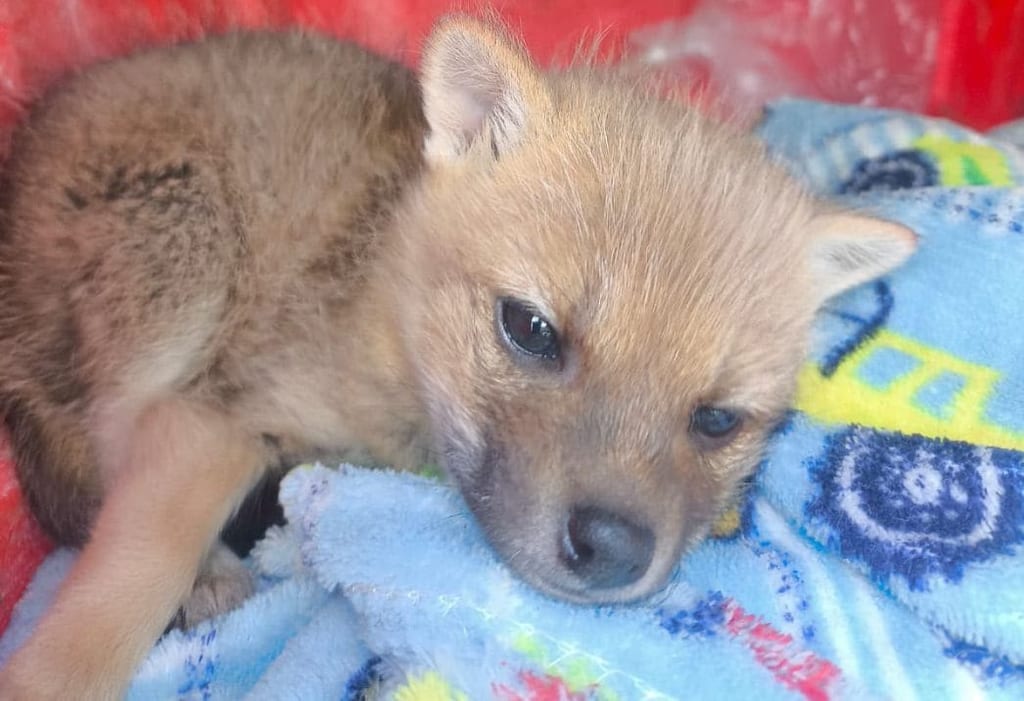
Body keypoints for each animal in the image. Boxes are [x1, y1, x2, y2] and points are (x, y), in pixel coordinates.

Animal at [0, 15, 916, 699]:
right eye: (532, 328)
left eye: (718, 419)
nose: (614, 549)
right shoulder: (209, 418)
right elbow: (120, 590)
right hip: (184, 255)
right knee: (96, 447)